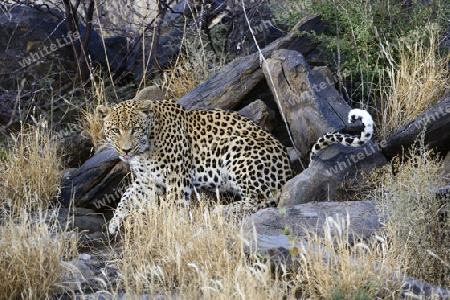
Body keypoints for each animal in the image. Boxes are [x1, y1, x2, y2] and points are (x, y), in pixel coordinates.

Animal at [97, 99, 294, 234]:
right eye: (115, 130)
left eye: (135, 129)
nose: (126, 150)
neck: (144, 149)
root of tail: (288, 170)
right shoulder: (146, 182)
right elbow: (126, 198)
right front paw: (114, 222)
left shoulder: (177, 177)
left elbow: (172, 206)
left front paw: (167, 227)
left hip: (238, 149)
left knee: (263, 200)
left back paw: (220, 210)